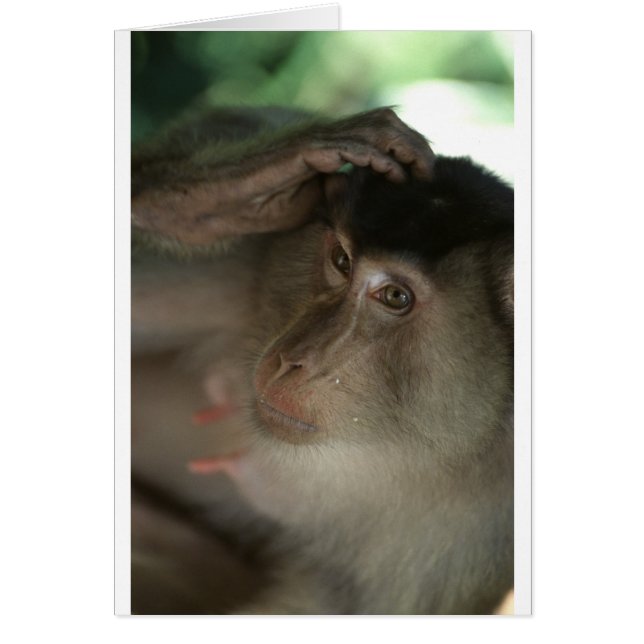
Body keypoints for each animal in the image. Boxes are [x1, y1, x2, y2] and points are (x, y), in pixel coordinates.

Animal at [130, 106, 514, 615]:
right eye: (341, 260)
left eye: (395, 296)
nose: (290, 359)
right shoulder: (244, 261)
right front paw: (230, 196)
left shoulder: (474, 540)